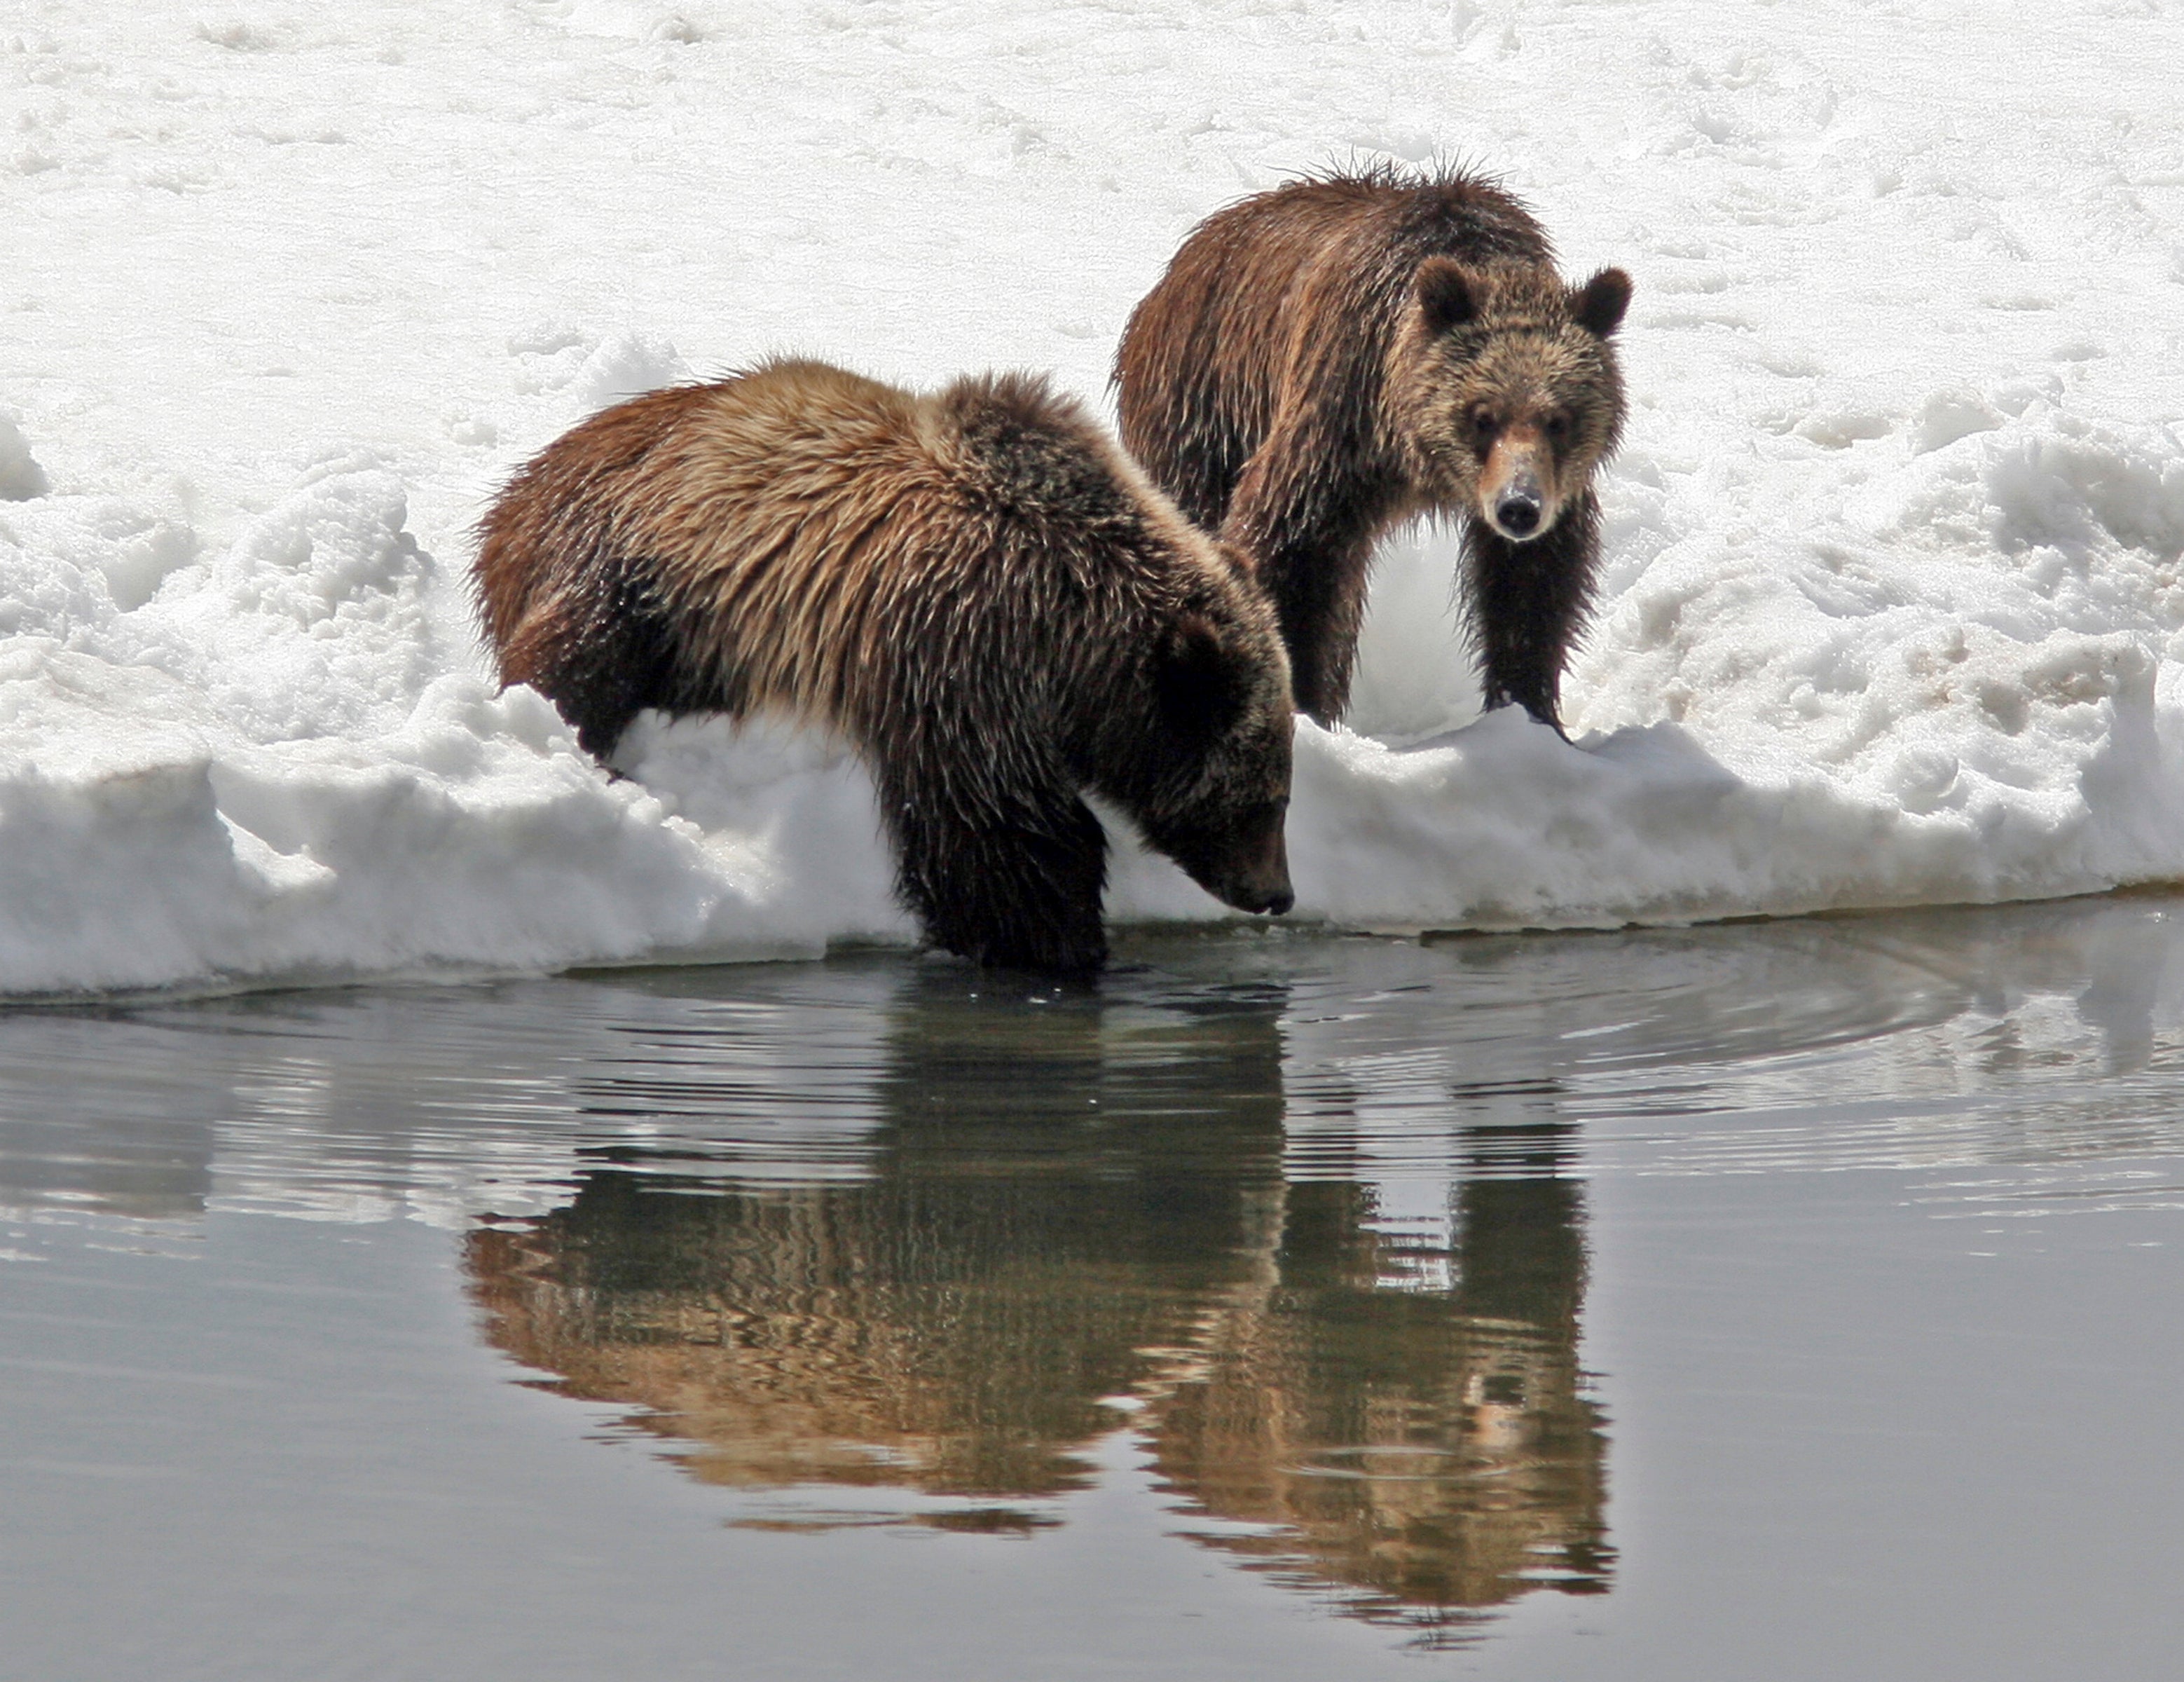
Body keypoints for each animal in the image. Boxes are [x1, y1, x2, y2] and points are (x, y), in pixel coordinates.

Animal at [473, 358, 1296, 974]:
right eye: (1265, 798)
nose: (1277, 893)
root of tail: (519, 484)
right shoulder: (958, 654)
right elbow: (996, 830)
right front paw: (1058, 943)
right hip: (636, 562)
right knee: (579, 659)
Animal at [1114, 163, 1632, 732]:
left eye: (1559, 420)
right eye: (1481, 416)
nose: (1518, 507)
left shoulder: (1555, 489)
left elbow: (1532, 586)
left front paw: (1529, 711)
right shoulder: (1342, 418)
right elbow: (1293, 549)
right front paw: (1301, 703)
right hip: (1201, 404)